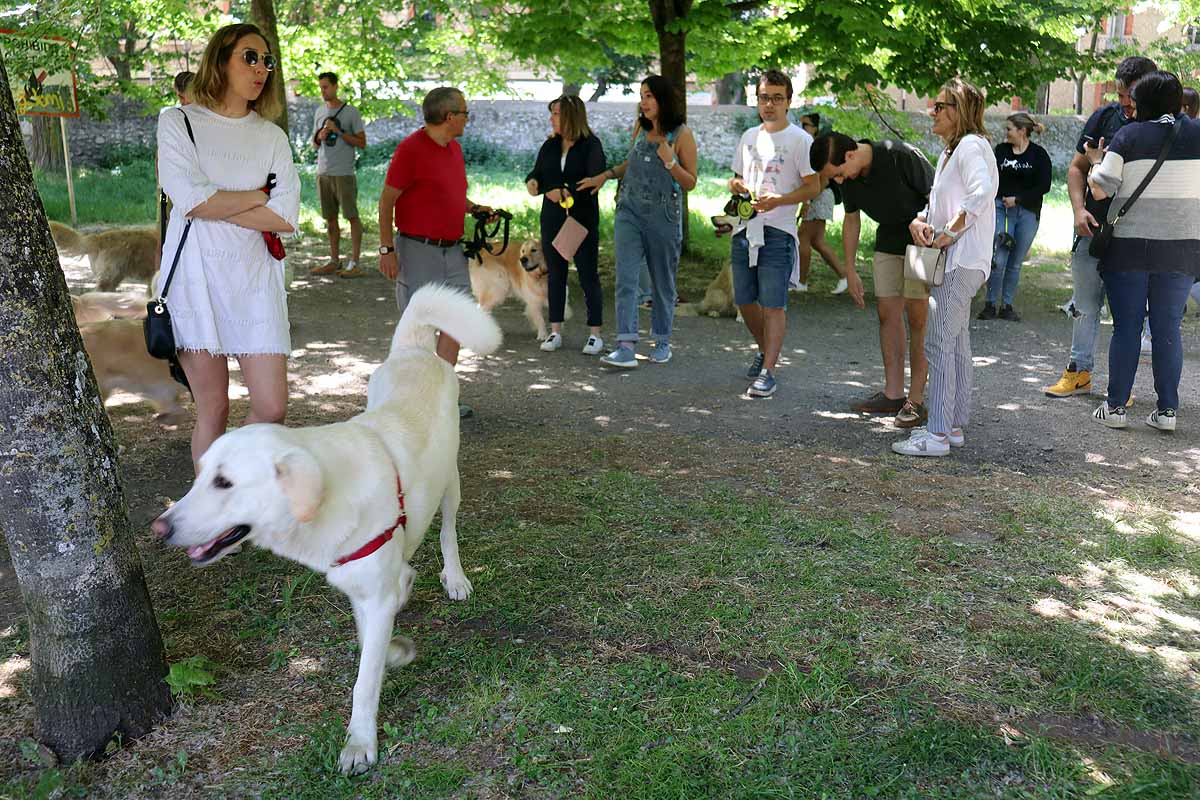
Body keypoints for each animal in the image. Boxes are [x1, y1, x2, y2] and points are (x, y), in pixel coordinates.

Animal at [153, 286, 501, 777]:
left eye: (224, 482)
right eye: (200, 476)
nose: (159, 527)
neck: (327, 499)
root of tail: (414, 350)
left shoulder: (374, 592)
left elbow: (364, 679)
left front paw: (360, 742)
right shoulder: (363, 590)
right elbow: (372, 641)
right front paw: (395, 647)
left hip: (450, 481)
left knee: (448, 531)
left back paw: (455, 577)